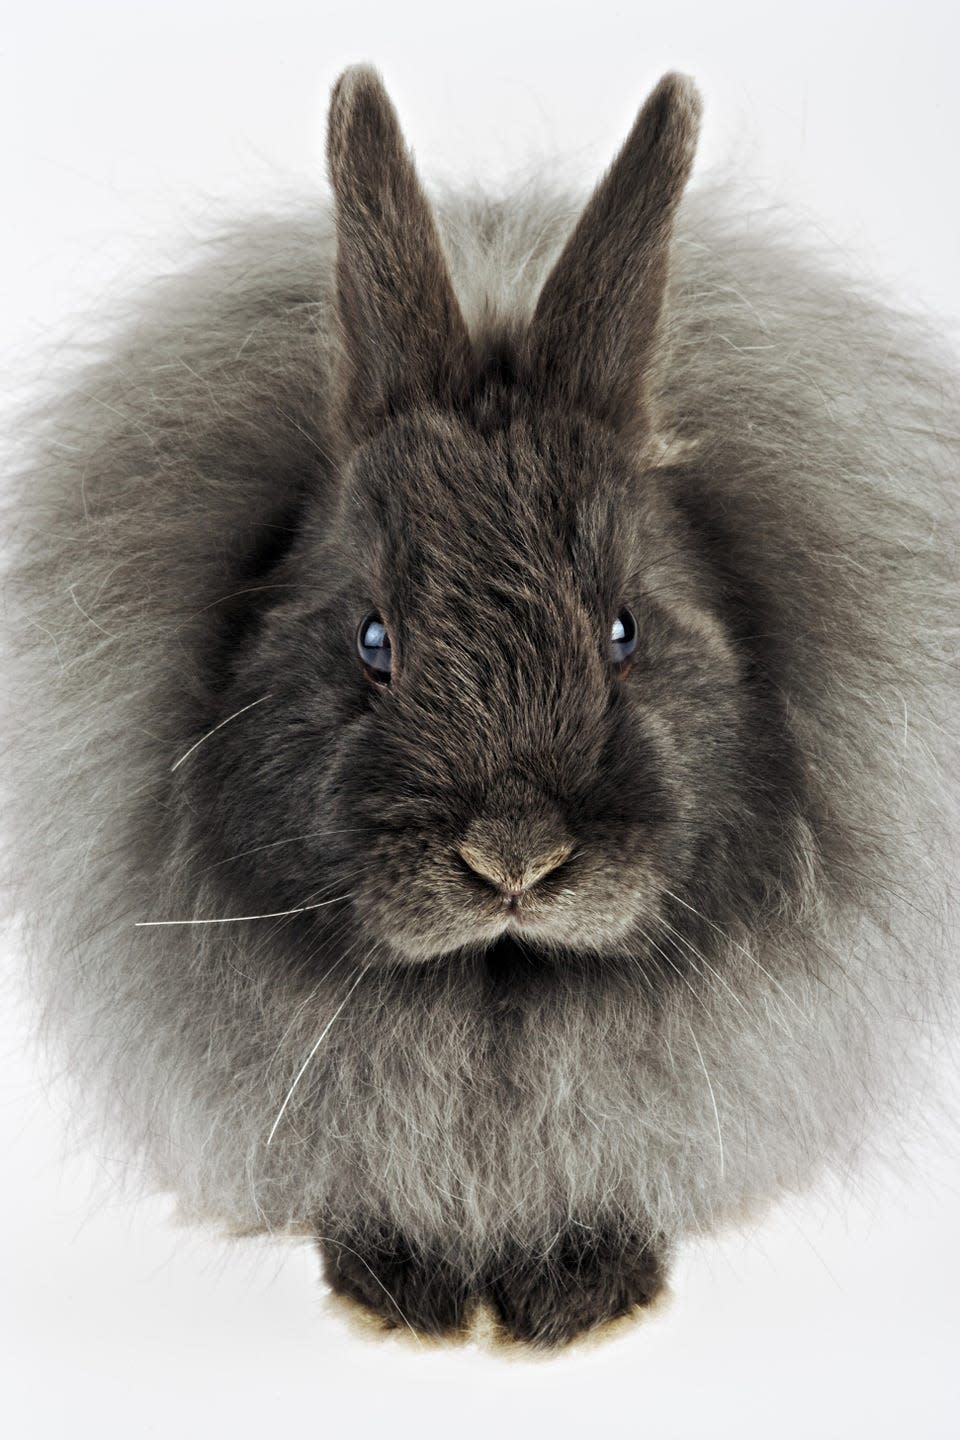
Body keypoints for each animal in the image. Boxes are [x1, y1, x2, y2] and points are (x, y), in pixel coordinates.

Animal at [1, 67, 960, 1347]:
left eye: (625, 631)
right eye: (372, 639)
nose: (515, 858)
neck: (499, 993)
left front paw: (585, 1298)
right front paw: (403, 1296)